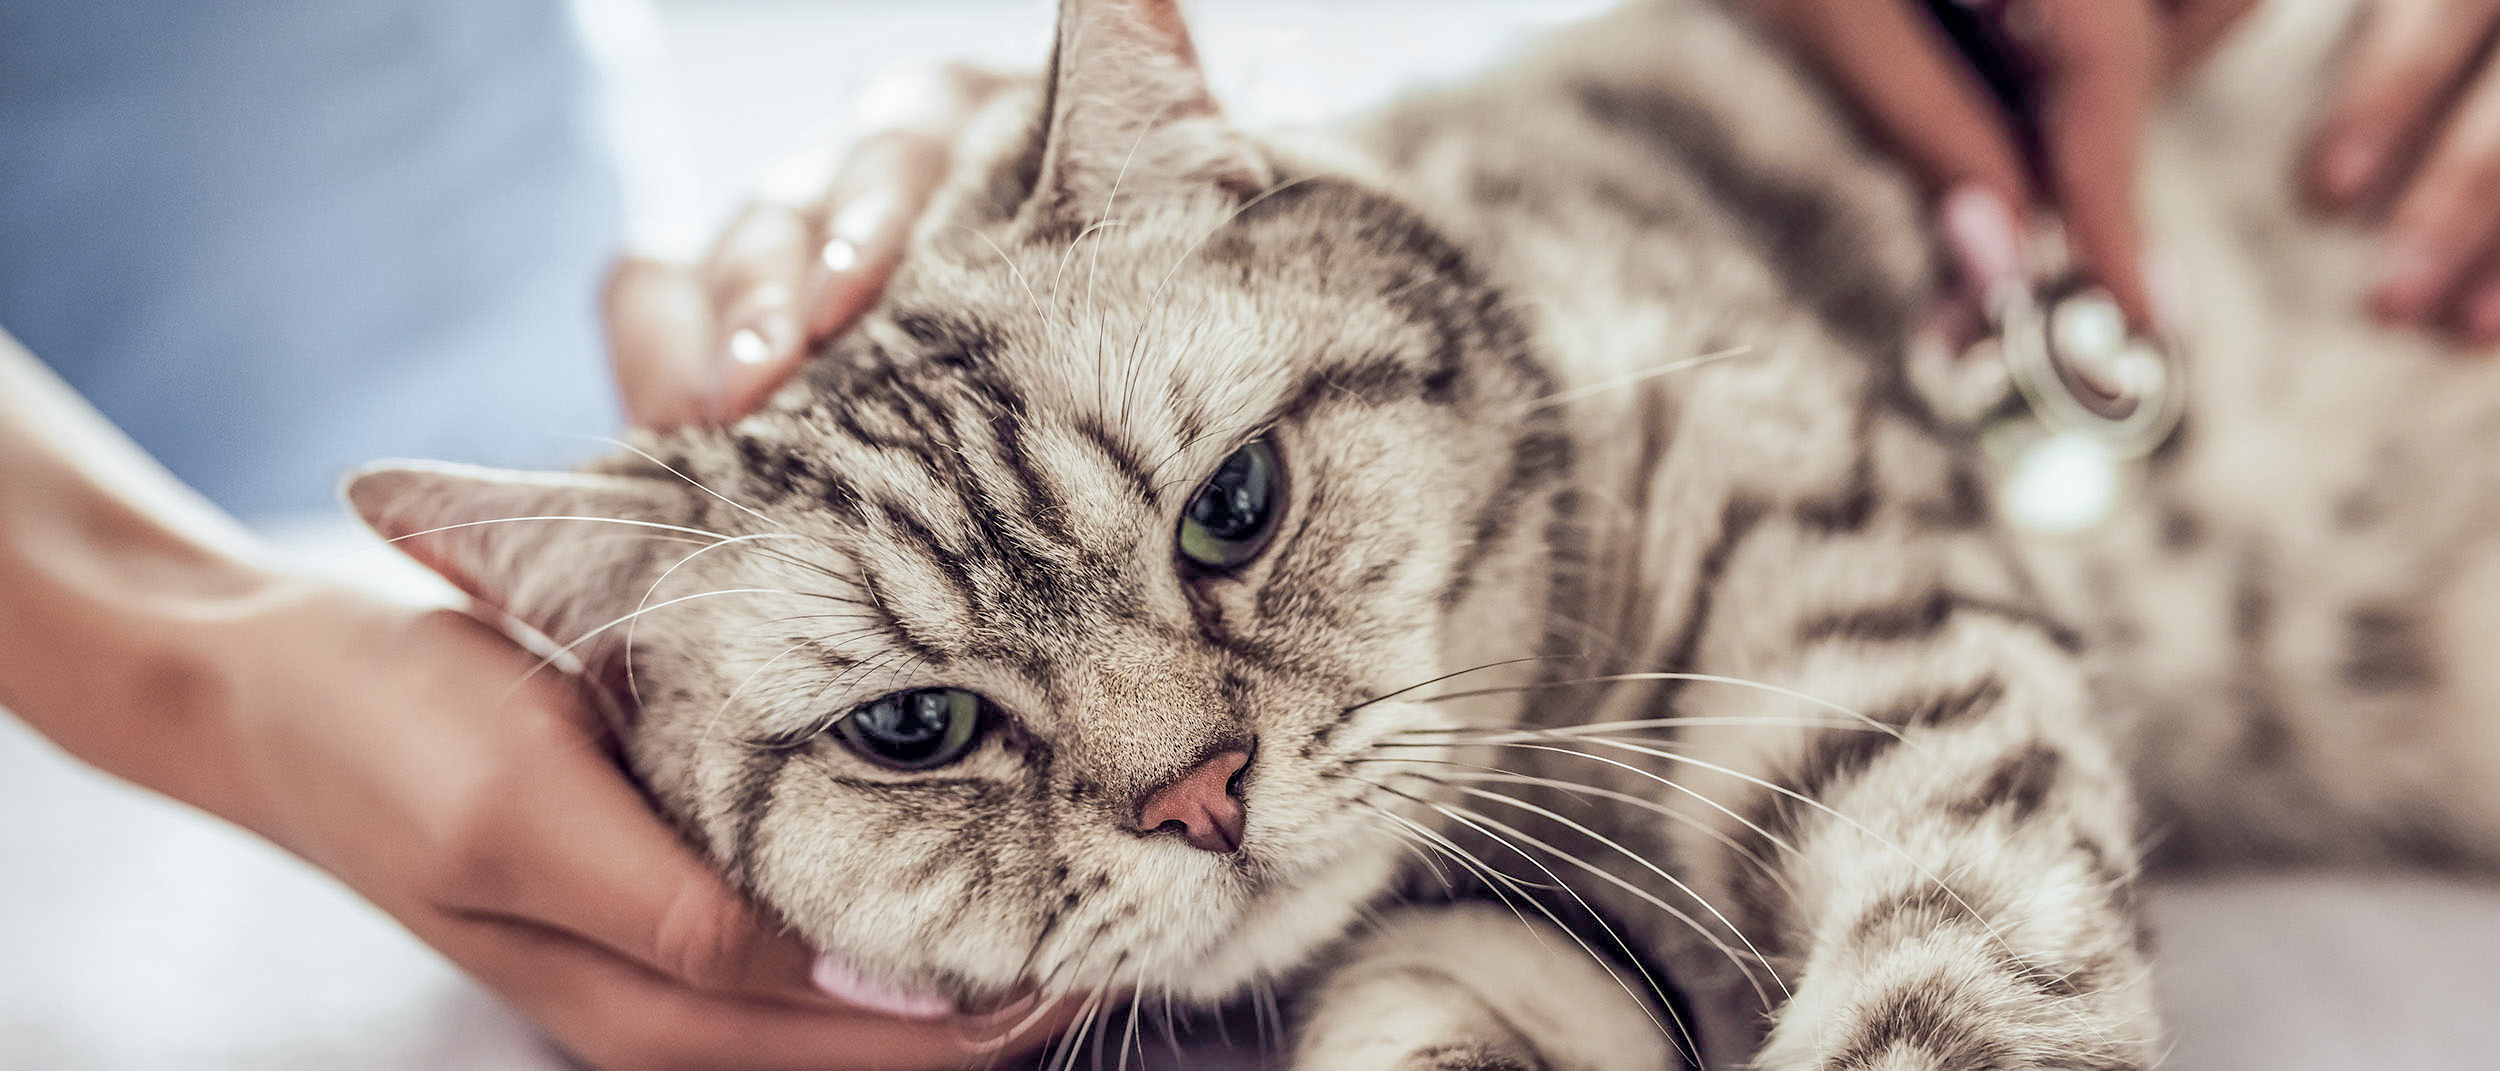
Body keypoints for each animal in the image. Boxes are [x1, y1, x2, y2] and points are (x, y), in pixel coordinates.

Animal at [342, 2, 2490, 1071]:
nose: (1200, 796)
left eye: (1234, 509)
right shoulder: (1493, 959)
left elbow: (1948, 995)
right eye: (914, 731)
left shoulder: (1911, 684)